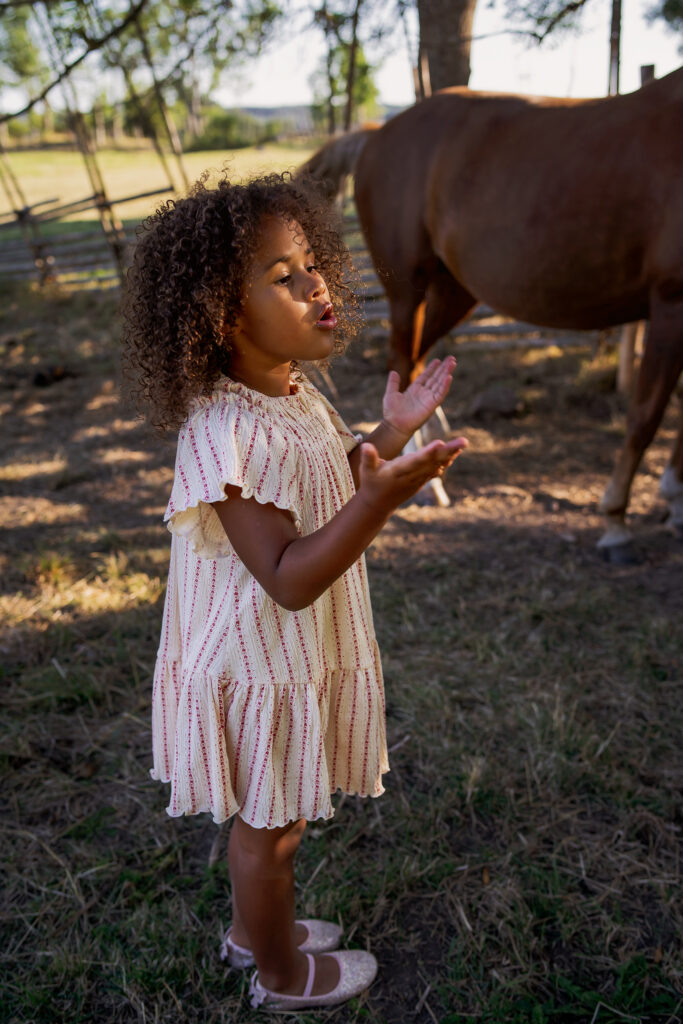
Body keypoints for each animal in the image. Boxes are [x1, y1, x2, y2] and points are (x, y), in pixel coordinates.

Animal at [301, 70, 683, 561]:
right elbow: (646, 417)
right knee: (402, 364)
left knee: (418, 365)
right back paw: (425, 484)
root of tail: (378, 135)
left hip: (454, 290)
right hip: (409, 291)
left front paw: (675, 504)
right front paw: (616, 519)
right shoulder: (671, 302)